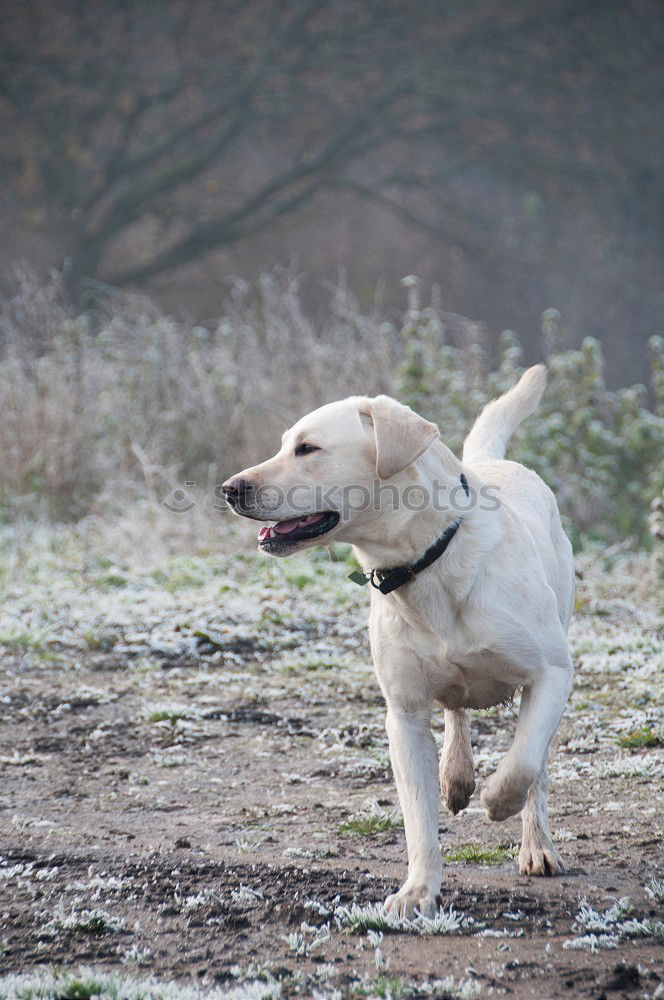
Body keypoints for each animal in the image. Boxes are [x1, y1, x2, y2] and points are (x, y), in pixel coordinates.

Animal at [220, 366, 572, 916]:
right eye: (284, 445)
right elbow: (417, 818)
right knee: (456, 709)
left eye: (307, 448)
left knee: (538, 764)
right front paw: (418, 891)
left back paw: (536, 844)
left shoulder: (553, 675)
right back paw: (456, 775)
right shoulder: (403, 714)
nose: (229, 489)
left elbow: (523, 762)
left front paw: (498, 800)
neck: (426, 562)